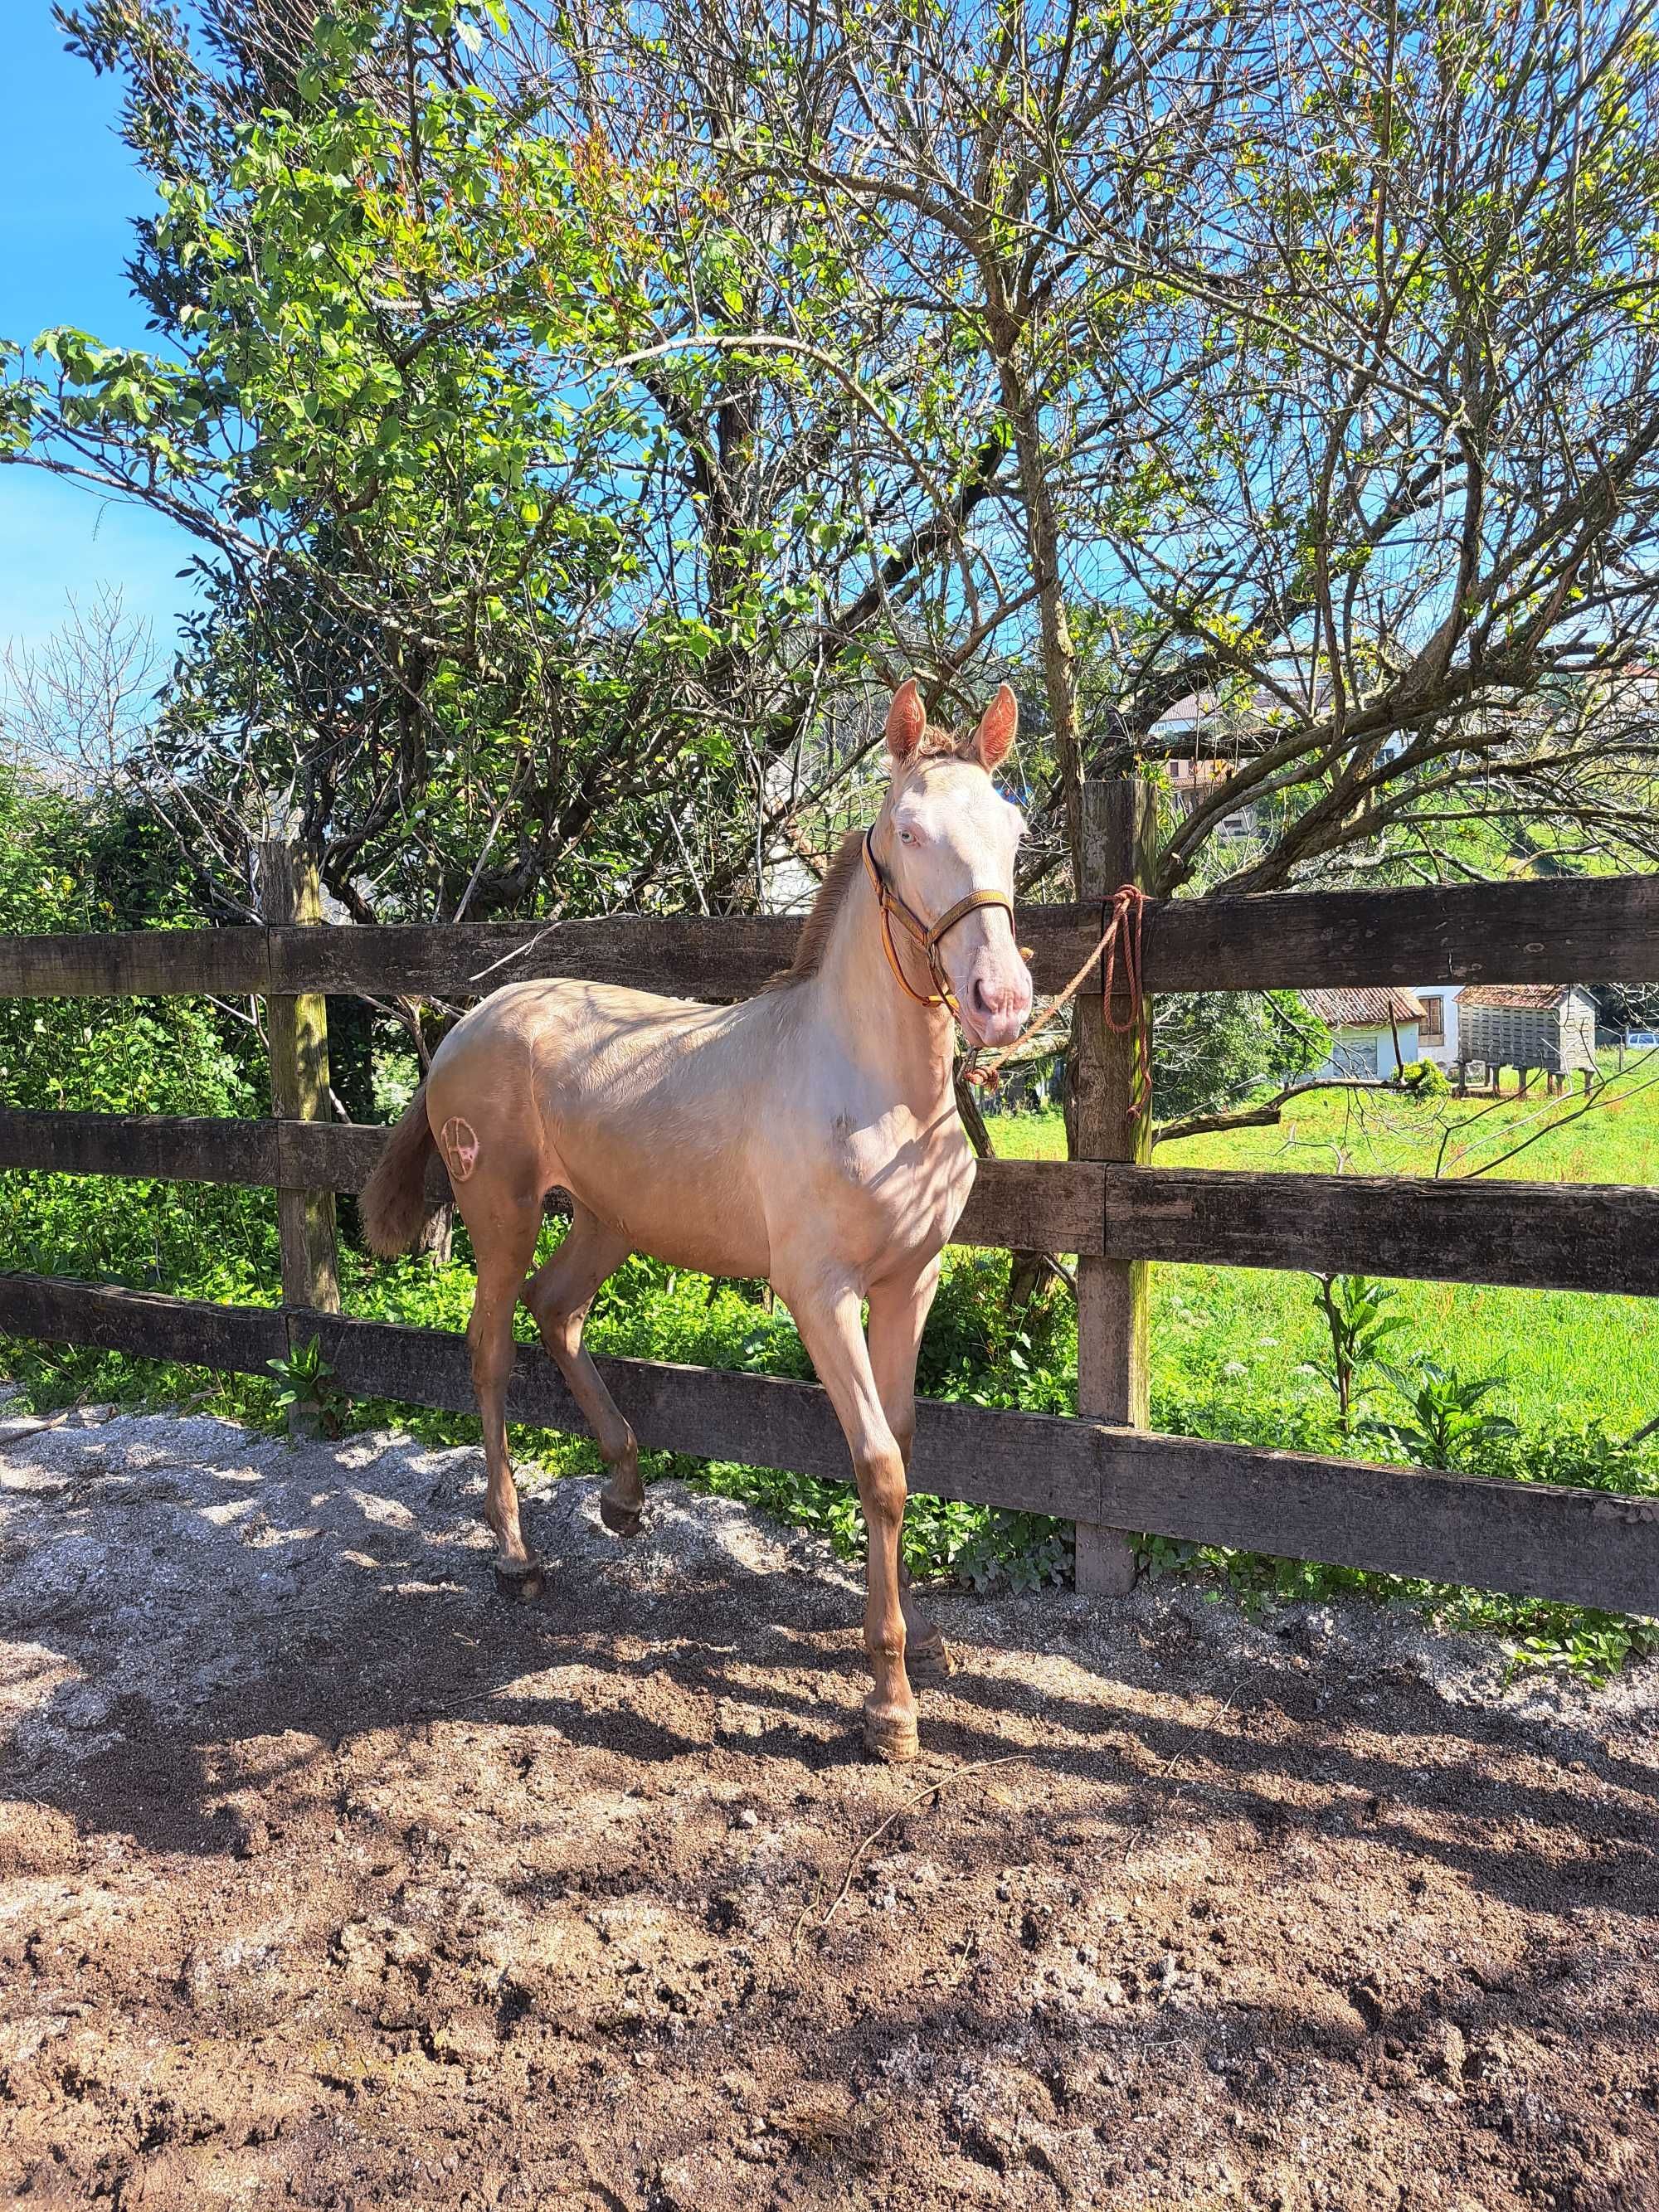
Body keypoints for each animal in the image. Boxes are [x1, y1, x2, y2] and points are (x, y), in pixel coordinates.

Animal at [362, 677, 1035, 1760]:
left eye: (1012, 830)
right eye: (907, 829)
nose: (1000, 1001)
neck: (873, 1086)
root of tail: (468, 1023)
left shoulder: (910, 1282)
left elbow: (903, 1443)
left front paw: (918, 1640)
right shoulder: (819, 1294)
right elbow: (877, 1467)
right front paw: (888, 1704)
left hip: (606, 1220)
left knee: (557, 1311)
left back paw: (625, 1495)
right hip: (501, 1213)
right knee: (489, 1348)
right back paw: (513, 1552)